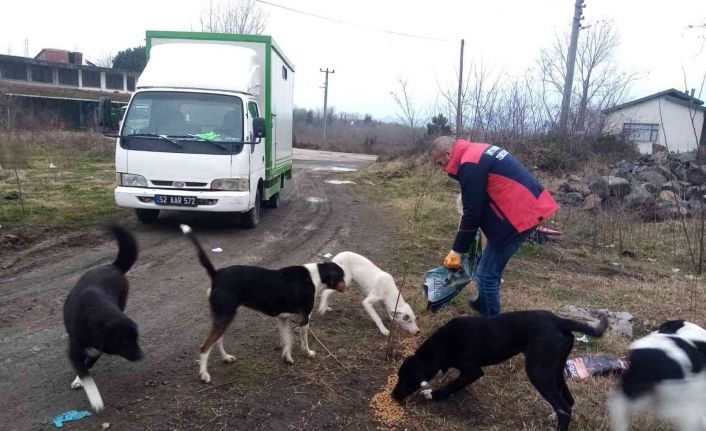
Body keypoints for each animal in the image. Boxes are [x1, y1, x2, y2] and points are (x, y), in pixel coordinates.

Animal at [62, 224, 142, 414]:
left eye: (136, 338)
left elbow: (88, 363)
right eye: (123, 342)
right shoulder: (75, 351)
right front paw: (95, 399)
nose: (141, 355)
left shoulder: (97, 348)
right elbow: (86, 375)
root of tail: (113, 267)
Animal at [179, 224, 346, 384]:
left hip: (224, 318)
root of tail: (216, 274)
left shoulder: (283, 318)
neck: (316, 275)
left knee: (217, 340)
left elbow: (287, 340)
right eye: (342, 276)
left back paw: (226, 358)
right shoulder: (304, 318)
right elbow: (303, 341)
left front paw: (287, 357)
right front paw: (308, 353)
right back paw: (204, 375)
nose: (347, 287)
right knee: (205, 347)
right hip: (224, 317)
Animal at [390, 310, 604, 431]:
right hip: (555, 370)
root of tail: (560, 321)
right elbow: (456, 384)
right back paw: (554, 416)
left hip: (538, 372)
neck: (443, 344)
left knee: (563, 405)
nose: (393, 395)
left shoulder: (473, 371)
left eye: (407, 379)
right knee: (567, 401)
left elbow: (451, 385)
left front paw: (432, 394)